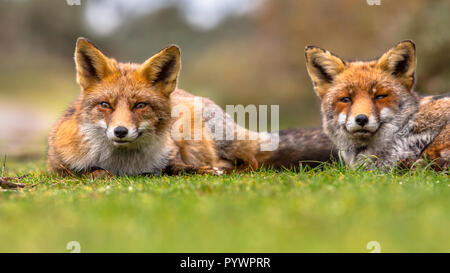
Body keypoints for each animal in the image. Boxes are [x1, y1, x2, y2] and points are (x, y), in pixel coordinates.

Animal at [48, 37, 334, 175]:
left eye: (140, 105)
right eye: (105, 105)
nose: (120, 131)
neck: (125, 165)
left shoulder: (174, 152)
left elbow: (175, 167)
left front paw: (201, 170)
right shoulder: (58, 166)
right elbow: (94, 173)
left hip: (202, 134)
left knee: (250, 162)